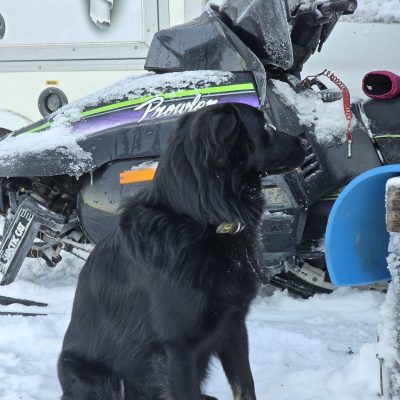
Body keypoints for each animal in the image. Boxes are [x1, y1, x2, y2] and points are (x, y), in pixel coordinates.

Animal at [58, 102, 306, 400]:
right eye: (265, 126)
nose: (305, 141)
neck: (201, 221)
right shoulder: (177, 348)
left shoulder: (234, 326)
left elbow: (245, 387)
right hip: (93, 375)